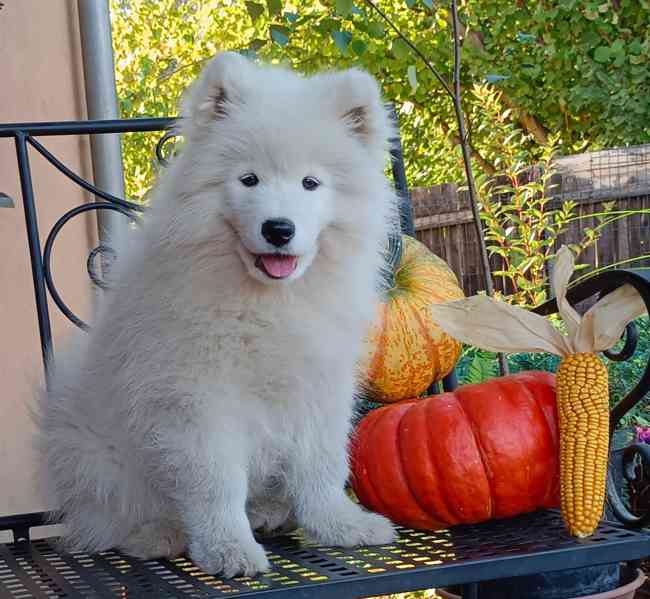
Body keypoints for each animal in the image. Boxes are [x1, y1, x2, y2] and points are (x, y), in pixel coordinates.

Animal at [40, 52, 398, 580]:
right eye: (248, 180)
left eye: (311, 183)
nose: (278, 229)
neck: (268, 302)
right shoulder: (198, 399)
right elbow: (215, 484)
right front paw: (228, 549)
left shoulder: (318, 387)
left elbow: (323, 466)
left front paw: (340, 525)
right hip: (93, 452)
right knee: (110, 517)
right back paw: (158, 534)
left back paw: (267, 512)